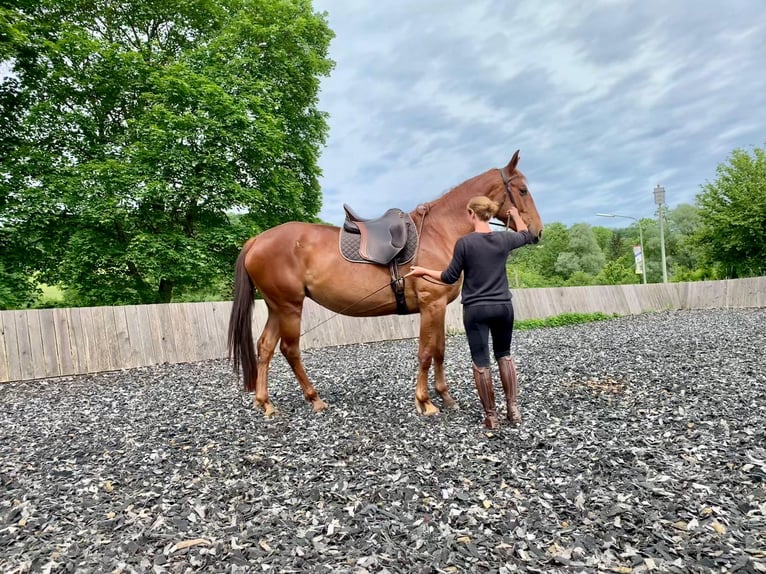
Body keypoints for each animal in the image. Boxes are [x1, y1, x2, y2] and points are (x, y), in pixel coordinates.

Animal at [230, 151, 544, 416]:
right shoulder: (431, 305)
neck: (439, 233)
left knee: (265, 347)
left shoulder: (438, 307)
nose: (538, 232)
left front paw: (445, 396)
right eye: (523, 190)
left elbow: (439, 350)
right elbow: (426, 352)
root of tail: (257, 239)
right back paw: (314, 399)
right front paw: (425, 402)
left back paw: (265, 403)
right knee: (290, 350)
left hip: (276, 307)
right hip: (290, 306)